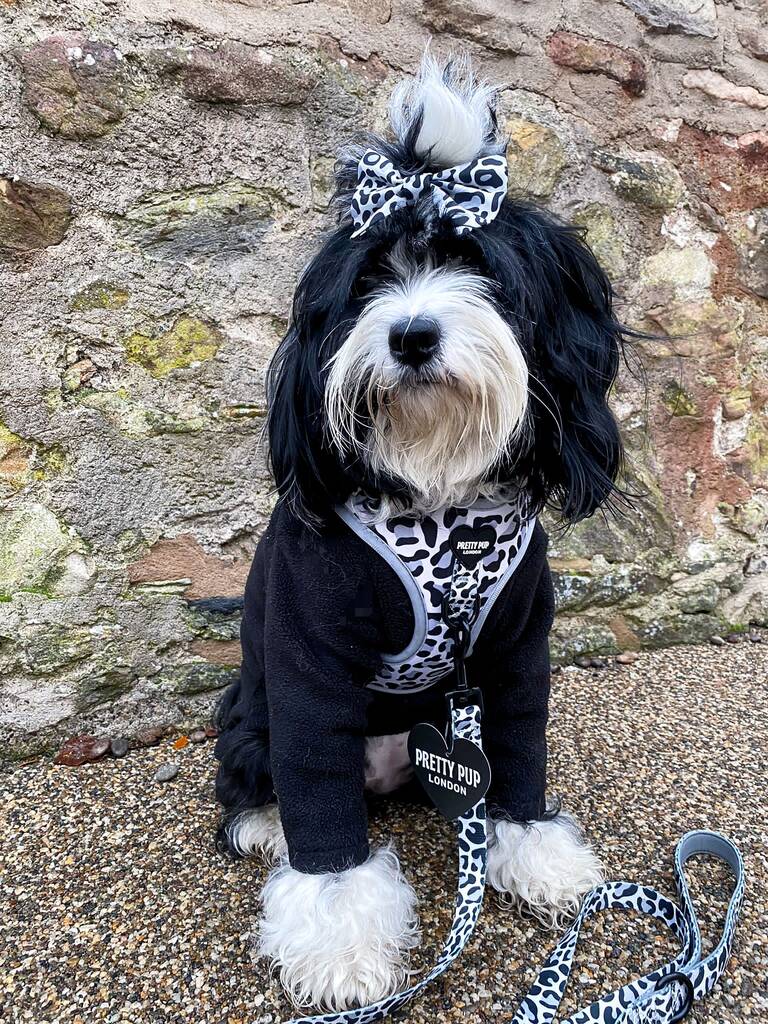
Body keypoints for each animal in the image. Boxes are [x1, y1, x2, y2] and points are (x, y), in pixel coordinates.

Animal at [215, 56, 626, 1015]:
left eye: (477, 268)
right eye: (370, 281)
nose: (409, 334)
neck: (438, 497)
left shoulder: (516, 648)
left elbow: (520, 749)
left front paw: (534, 851)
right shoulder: (307, 660)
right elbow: (322, 818)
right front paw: (338, 943)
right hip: (250, 717)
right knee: (261, 777)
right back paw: (263, 822)